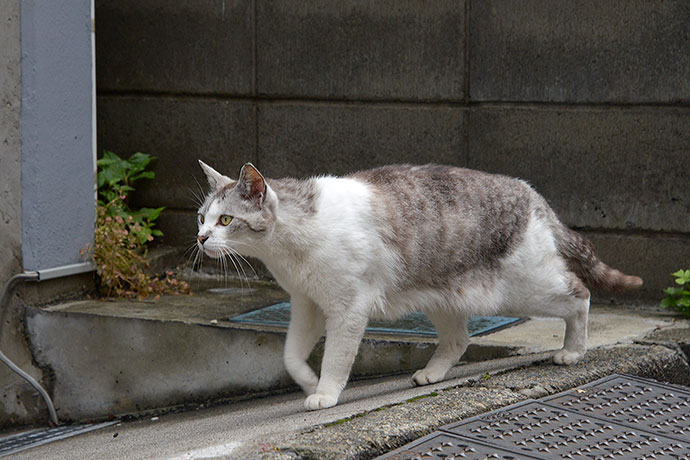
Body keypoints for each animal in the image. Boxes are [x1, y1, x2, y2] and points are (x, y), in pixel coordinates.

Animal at [194, 161, 640, 410]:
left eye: (226, 220)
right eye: (201, 217)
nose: (199, 238)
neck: (288, 246)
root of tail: (530, 193)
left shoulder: (347, 308)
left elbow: (337, 358)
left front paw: (325, 393)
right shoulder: (307, 303)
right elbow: (290, 355)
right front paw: (306, 381)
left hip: (524, 287)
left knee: (579, 295)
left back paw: (573, 351)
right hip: (443, 297)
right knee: (459, 339)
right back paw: (432, 373)